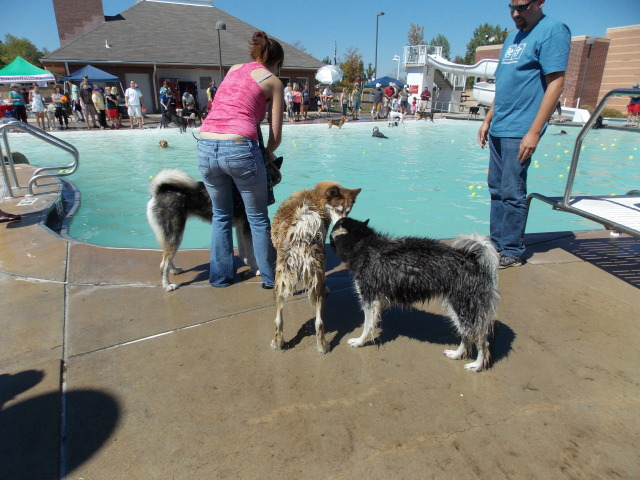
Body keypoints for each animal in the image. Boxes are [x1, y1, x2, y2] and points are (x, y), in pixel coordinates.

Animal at [268, 180, 360, 352]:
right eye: (338, 209)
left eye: (348, 211)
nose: (344, 225)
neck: (316, 199)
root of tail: (302, 232)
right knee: (315, 321)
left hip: (285, 280)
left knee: (288, 319)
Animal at [332, 218, 502, 372]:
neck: (363, 243)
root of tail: (472, 261)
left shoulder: (370, 299)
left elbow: (367, 325)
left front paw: (359, 342)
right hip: (457, 309)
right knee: (466, 336)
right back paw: (456, 354)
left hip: (464, 308)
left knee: (482, 342)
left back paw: (477, 365)